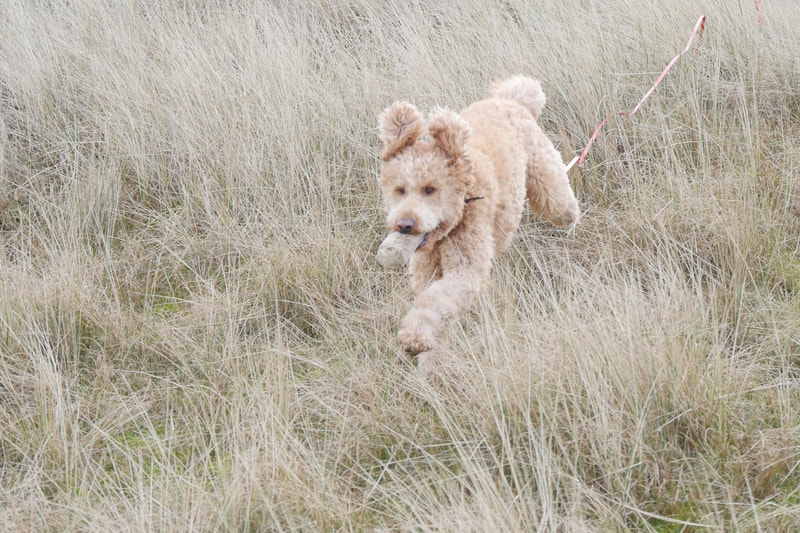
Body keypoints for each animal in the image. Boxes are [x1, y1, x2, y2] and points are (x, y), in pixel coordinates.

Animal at [378, 75, 580, 356]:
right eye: (399, 190)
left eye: (430, 189)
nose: (405, 224)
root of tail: (509, 100)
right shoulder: (425, 272)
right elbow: (433, 305)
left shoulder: (467, 269)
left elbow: (437, 299)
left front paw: (415, 337)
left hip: (546, 179)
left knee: (560, 200)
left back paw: (573, 219)